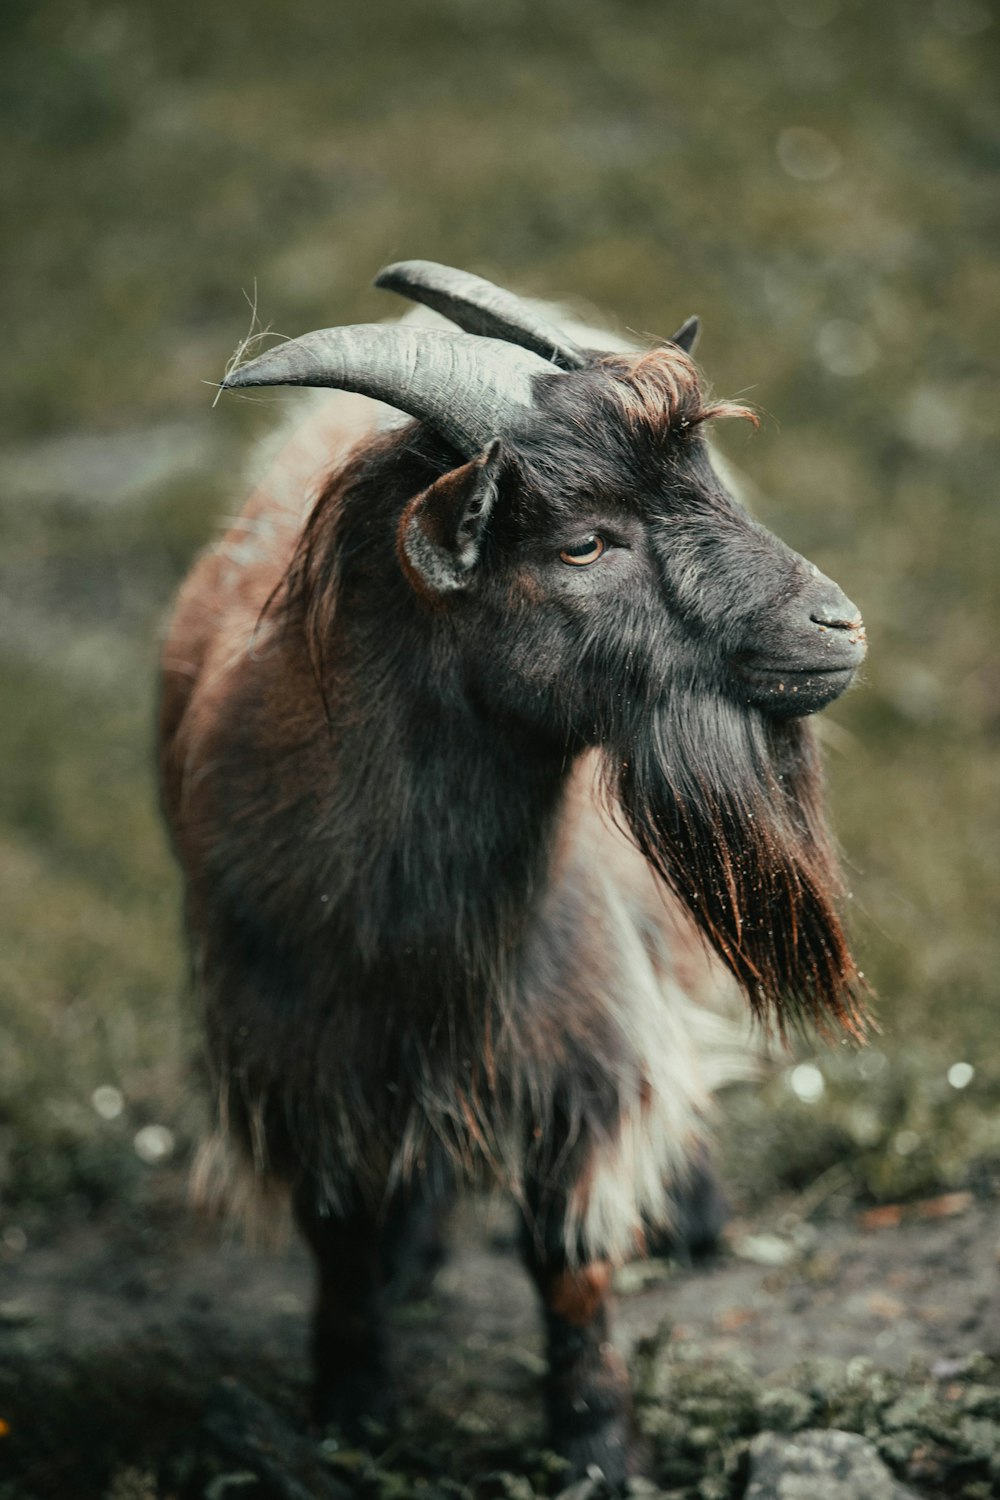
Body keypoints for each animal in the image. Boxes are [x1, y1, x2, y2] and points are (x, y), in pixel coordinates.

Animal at [158, 264, 869, 1482]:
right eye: (583, 544)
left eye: (705, 483)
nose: (836, 625)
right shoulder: (300, 1062)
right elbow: (339, 1246)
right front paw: (350, 1410)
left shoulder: (576, 1040)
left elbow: (566, 1257)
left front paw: (597, 1448)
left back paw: (689, 1216)